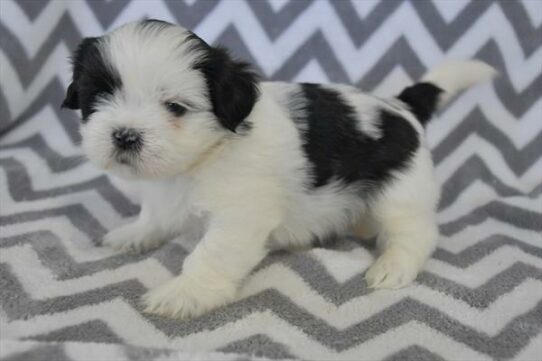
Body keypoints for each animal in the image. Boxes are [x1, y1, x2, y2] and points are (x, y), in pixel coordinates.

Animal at [62, 20, 498, 318]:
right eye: (97, 97)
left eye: (175, 107)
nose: (125, 135)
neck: (206, 153)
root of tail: (400, 105)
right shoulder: (164, 191)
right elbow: (154, 215)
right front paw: (134, 234)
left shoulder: (241, 212)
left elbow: (211, 253)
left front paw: (186, 293)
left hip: (400, 189)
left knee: (415, 231)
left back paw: (394, 265)